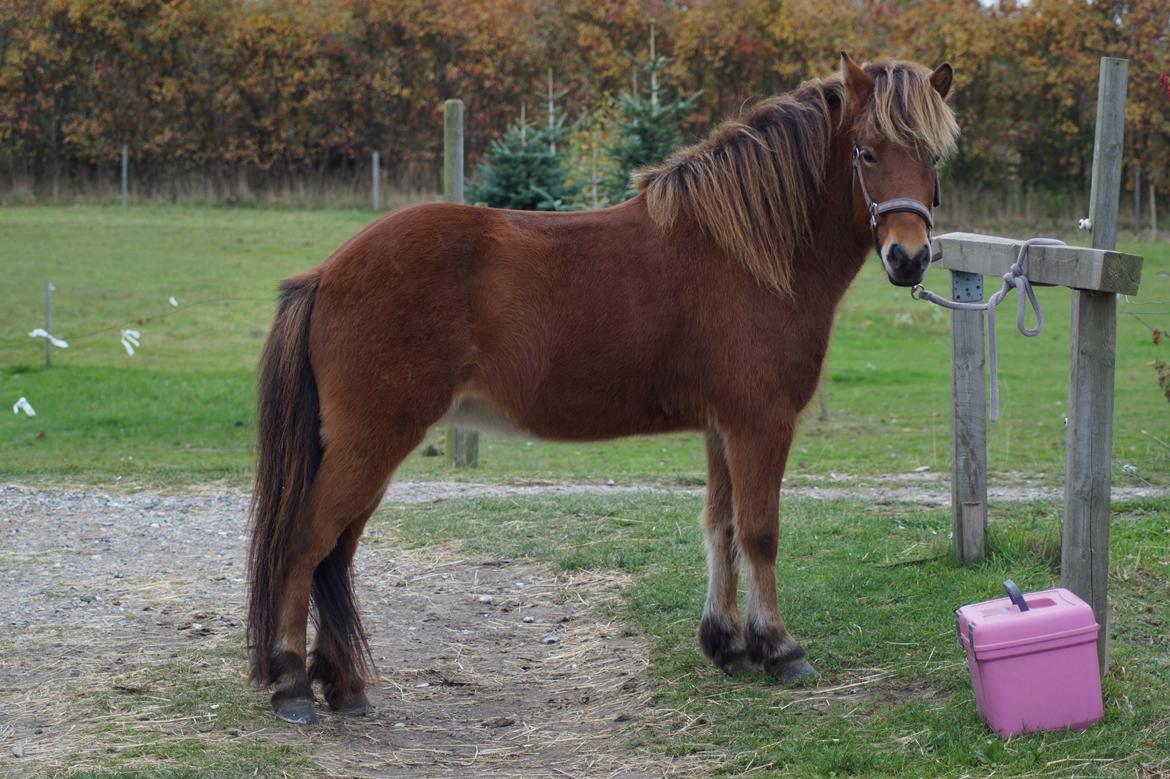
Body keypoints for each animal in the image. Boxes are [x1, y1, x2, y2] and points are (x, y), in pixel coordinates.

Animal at [246, 53, 959, 720]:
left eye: (933, 156)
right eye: (867, 152)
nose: (909, 258)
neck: (744, 254)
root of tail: (326, 274)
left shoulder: (721, 427)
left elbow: (720, 526)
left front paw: (728, 646)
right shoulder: (761, 421)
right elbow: (760, 531)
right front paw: (781, 650)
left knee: (337, 552)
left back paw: (344, 685)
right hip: (372, 442)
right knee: (305, 543)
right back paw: (292, 686)